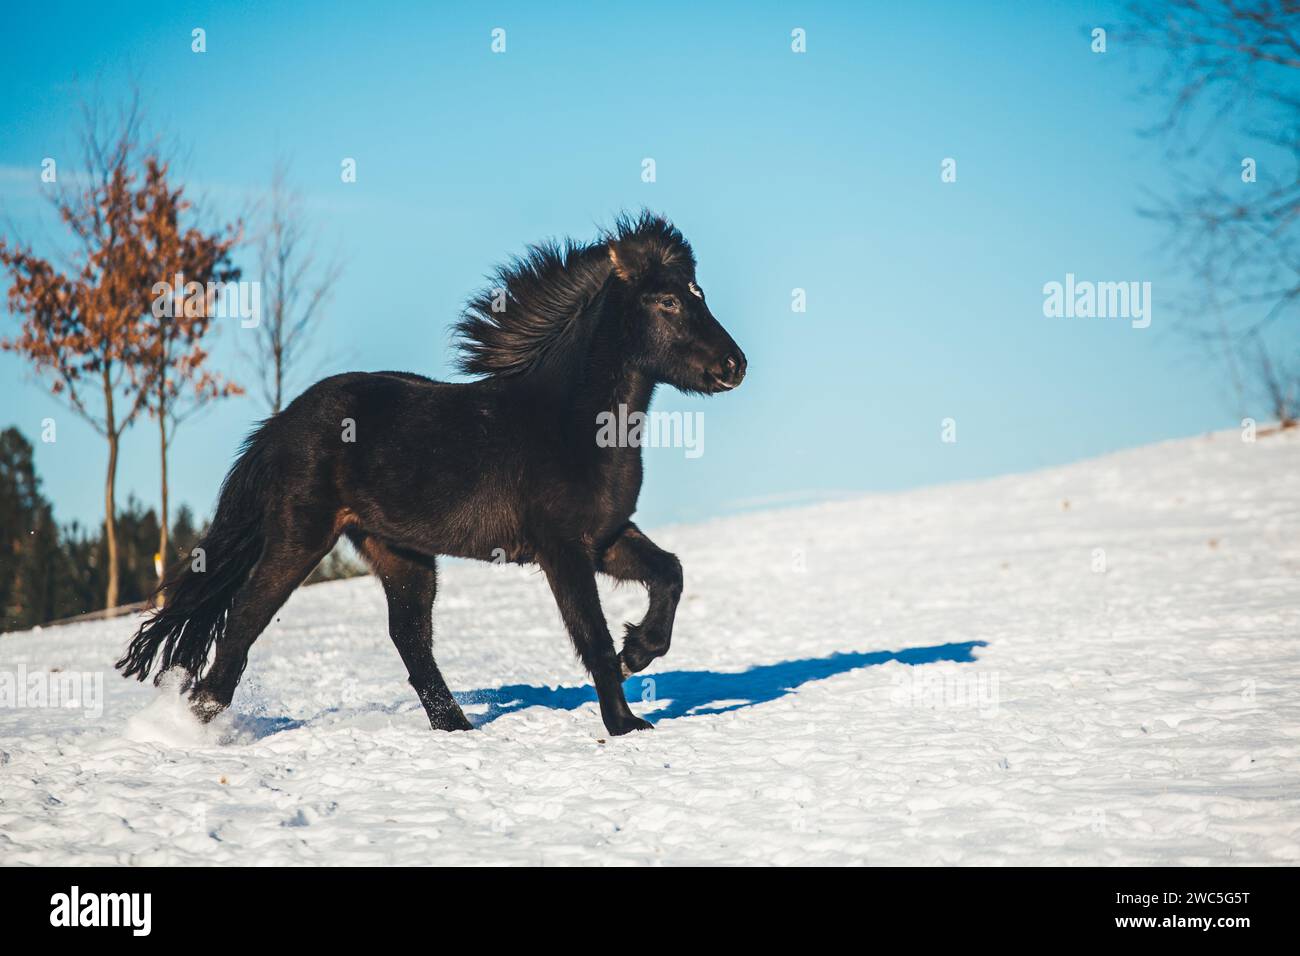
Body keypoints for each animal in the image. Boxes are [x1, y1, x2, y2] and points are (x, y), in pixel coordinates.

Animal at [116, 212, 747, 736]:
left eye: (699, 293)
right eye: (667, 302)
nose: (734, 366)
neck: (571, 422)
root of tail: (281, 424)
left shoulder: (606, 536)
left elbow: (670, 573)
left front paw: (637, 651)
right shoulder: (562, 549)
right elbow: (590, 635)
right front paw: (625, 724)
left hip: (400, 553)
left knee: (410, 640)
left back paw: (458, 729)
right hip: (301, 537)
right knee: (246, 616)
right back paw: (187, 723)